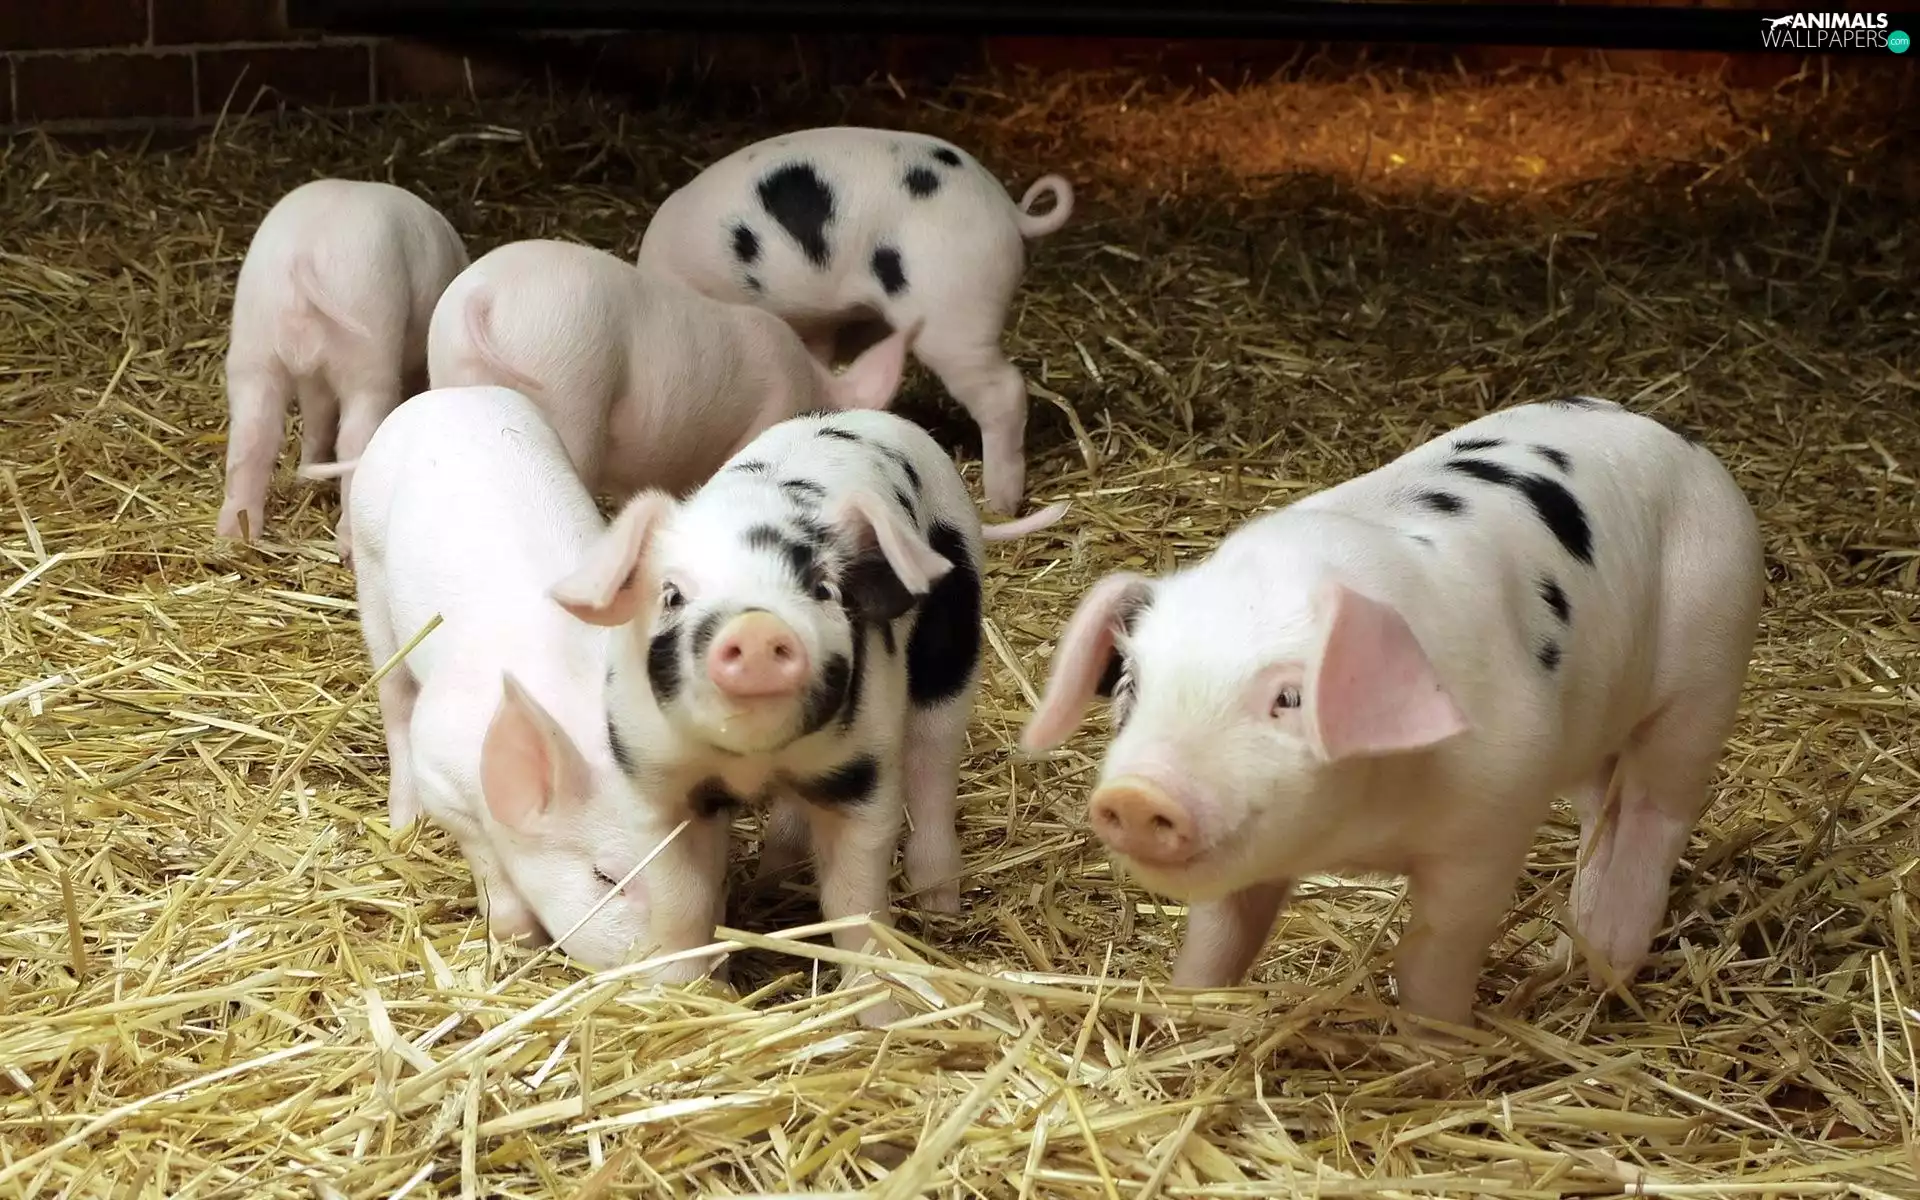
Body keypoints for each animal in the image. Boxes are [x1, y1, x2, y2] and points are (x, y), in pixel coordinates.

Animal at [217, 178, 468, 563]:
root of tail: (306, 252)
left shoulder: (312, 375)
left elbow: (317, 416)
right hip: (369, 345)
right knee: (354, 440)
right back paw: (348, 547)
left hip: (254, 345)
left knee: (254, 434)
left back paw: (234, 535)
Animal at [337, 382, 722, 980]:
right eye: (606, 878)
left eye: (712, 866)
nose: (695, 985)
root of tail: (448, 393)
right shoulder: (443, 771)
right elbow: (490, 868)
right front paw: (515, 942)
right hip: (372, 572)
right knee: (394, 698)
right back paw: (402, 825)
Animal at [548, 409, 1067, 1022]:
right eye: (672, 594)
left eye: (823, 589)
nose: (756, 627)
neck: (756, 760)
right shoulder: (656, 780)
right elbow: (683, 901)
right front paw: (680, 995)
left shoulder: (863, 775)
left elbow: (855, 901)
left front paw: (882, 1013)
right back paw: (775, 878)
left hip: (951, 642)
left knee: (933, 765)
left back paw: (940, 903)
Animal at [1019, 397, 1764, 1030]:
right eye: (1132, 685)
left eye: (1290, 697)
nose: (1137, 794)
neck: (1362, 830)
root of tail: (1677, 437)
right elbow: (1217, 940)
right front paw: (1188, 1014)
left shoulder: (1491, 822)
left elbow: (1433, 956)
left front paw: (1437, 1054)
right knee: (1598, 808)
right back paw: (1567, 951)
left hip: (1708, 667)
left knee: (1656, 810)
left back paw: (1608, 965)